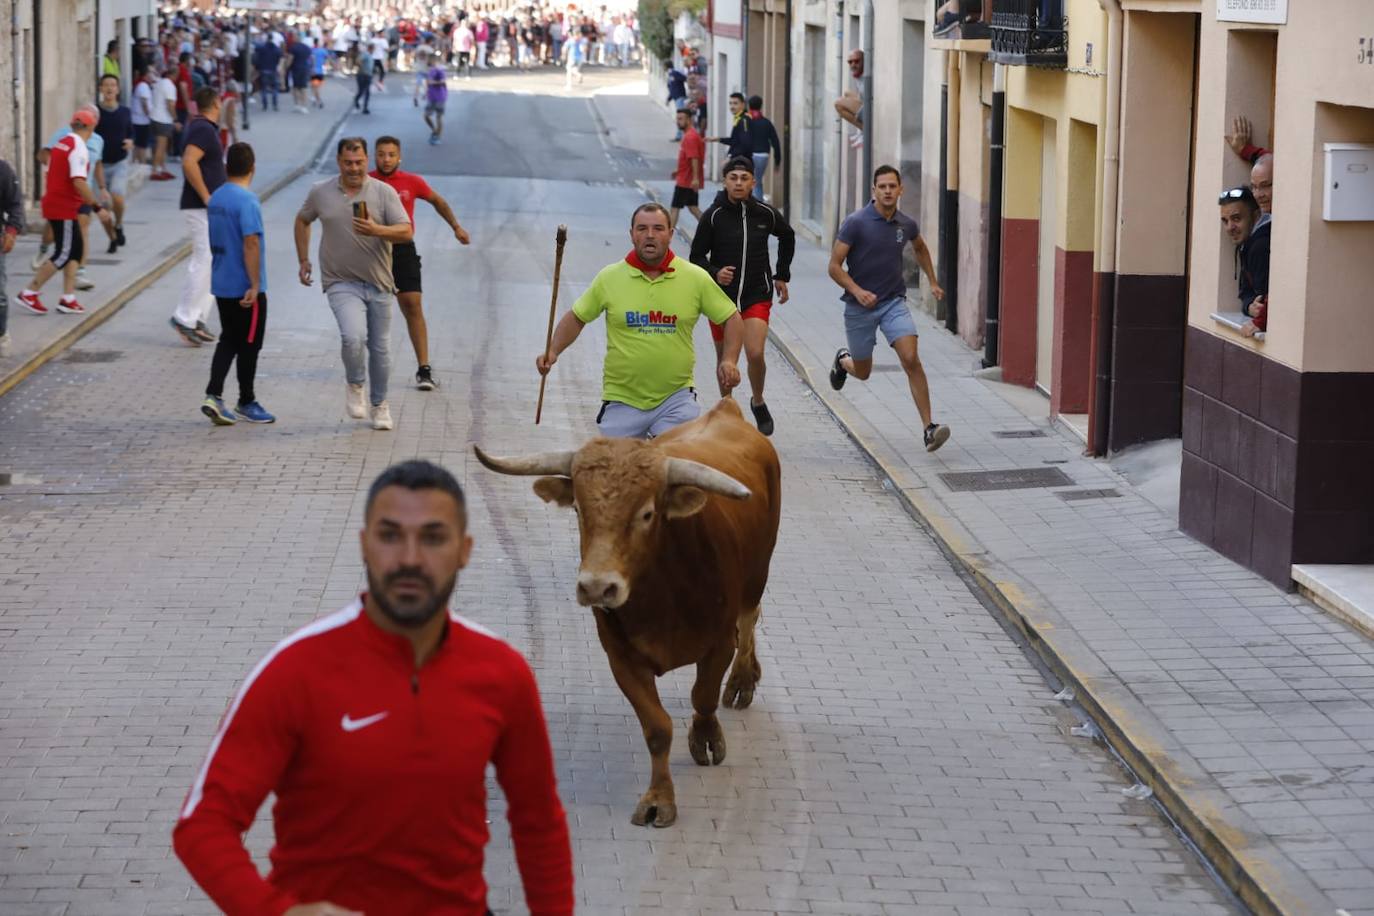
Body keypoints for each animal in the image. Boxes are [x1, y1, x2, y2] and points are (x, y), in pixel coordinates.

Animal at [475, 398, 780, 829]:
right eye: (578, 509)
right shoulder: (621, 658)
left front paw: (706, 738)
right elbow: (657, 728)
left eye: (647, 513)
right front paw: (659, 799)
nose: (597, 587)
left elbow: (703, 696)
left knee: (749, 619)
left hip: (758, 574)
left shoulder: (717, 645)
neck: (663, 594)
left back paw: (742, 682)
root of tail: (727, 409)